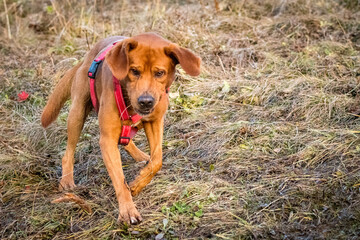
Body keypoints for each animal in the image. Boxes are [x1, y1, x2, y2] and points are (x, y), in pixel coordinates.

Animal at [41, 32, 201, 224]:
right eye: (134, 71)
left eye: (159, 73)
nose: (146, 101)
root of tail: (86, 58)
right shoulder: (107, 139)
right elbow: (119, 180)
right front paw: (127, 210)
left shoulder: (155, 122)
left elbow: (157, 160)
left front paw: (137, 183)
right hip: (77, 113)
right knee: (69, 152)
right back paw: (67, 181)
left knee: (128, 141)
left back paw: (140, 157)